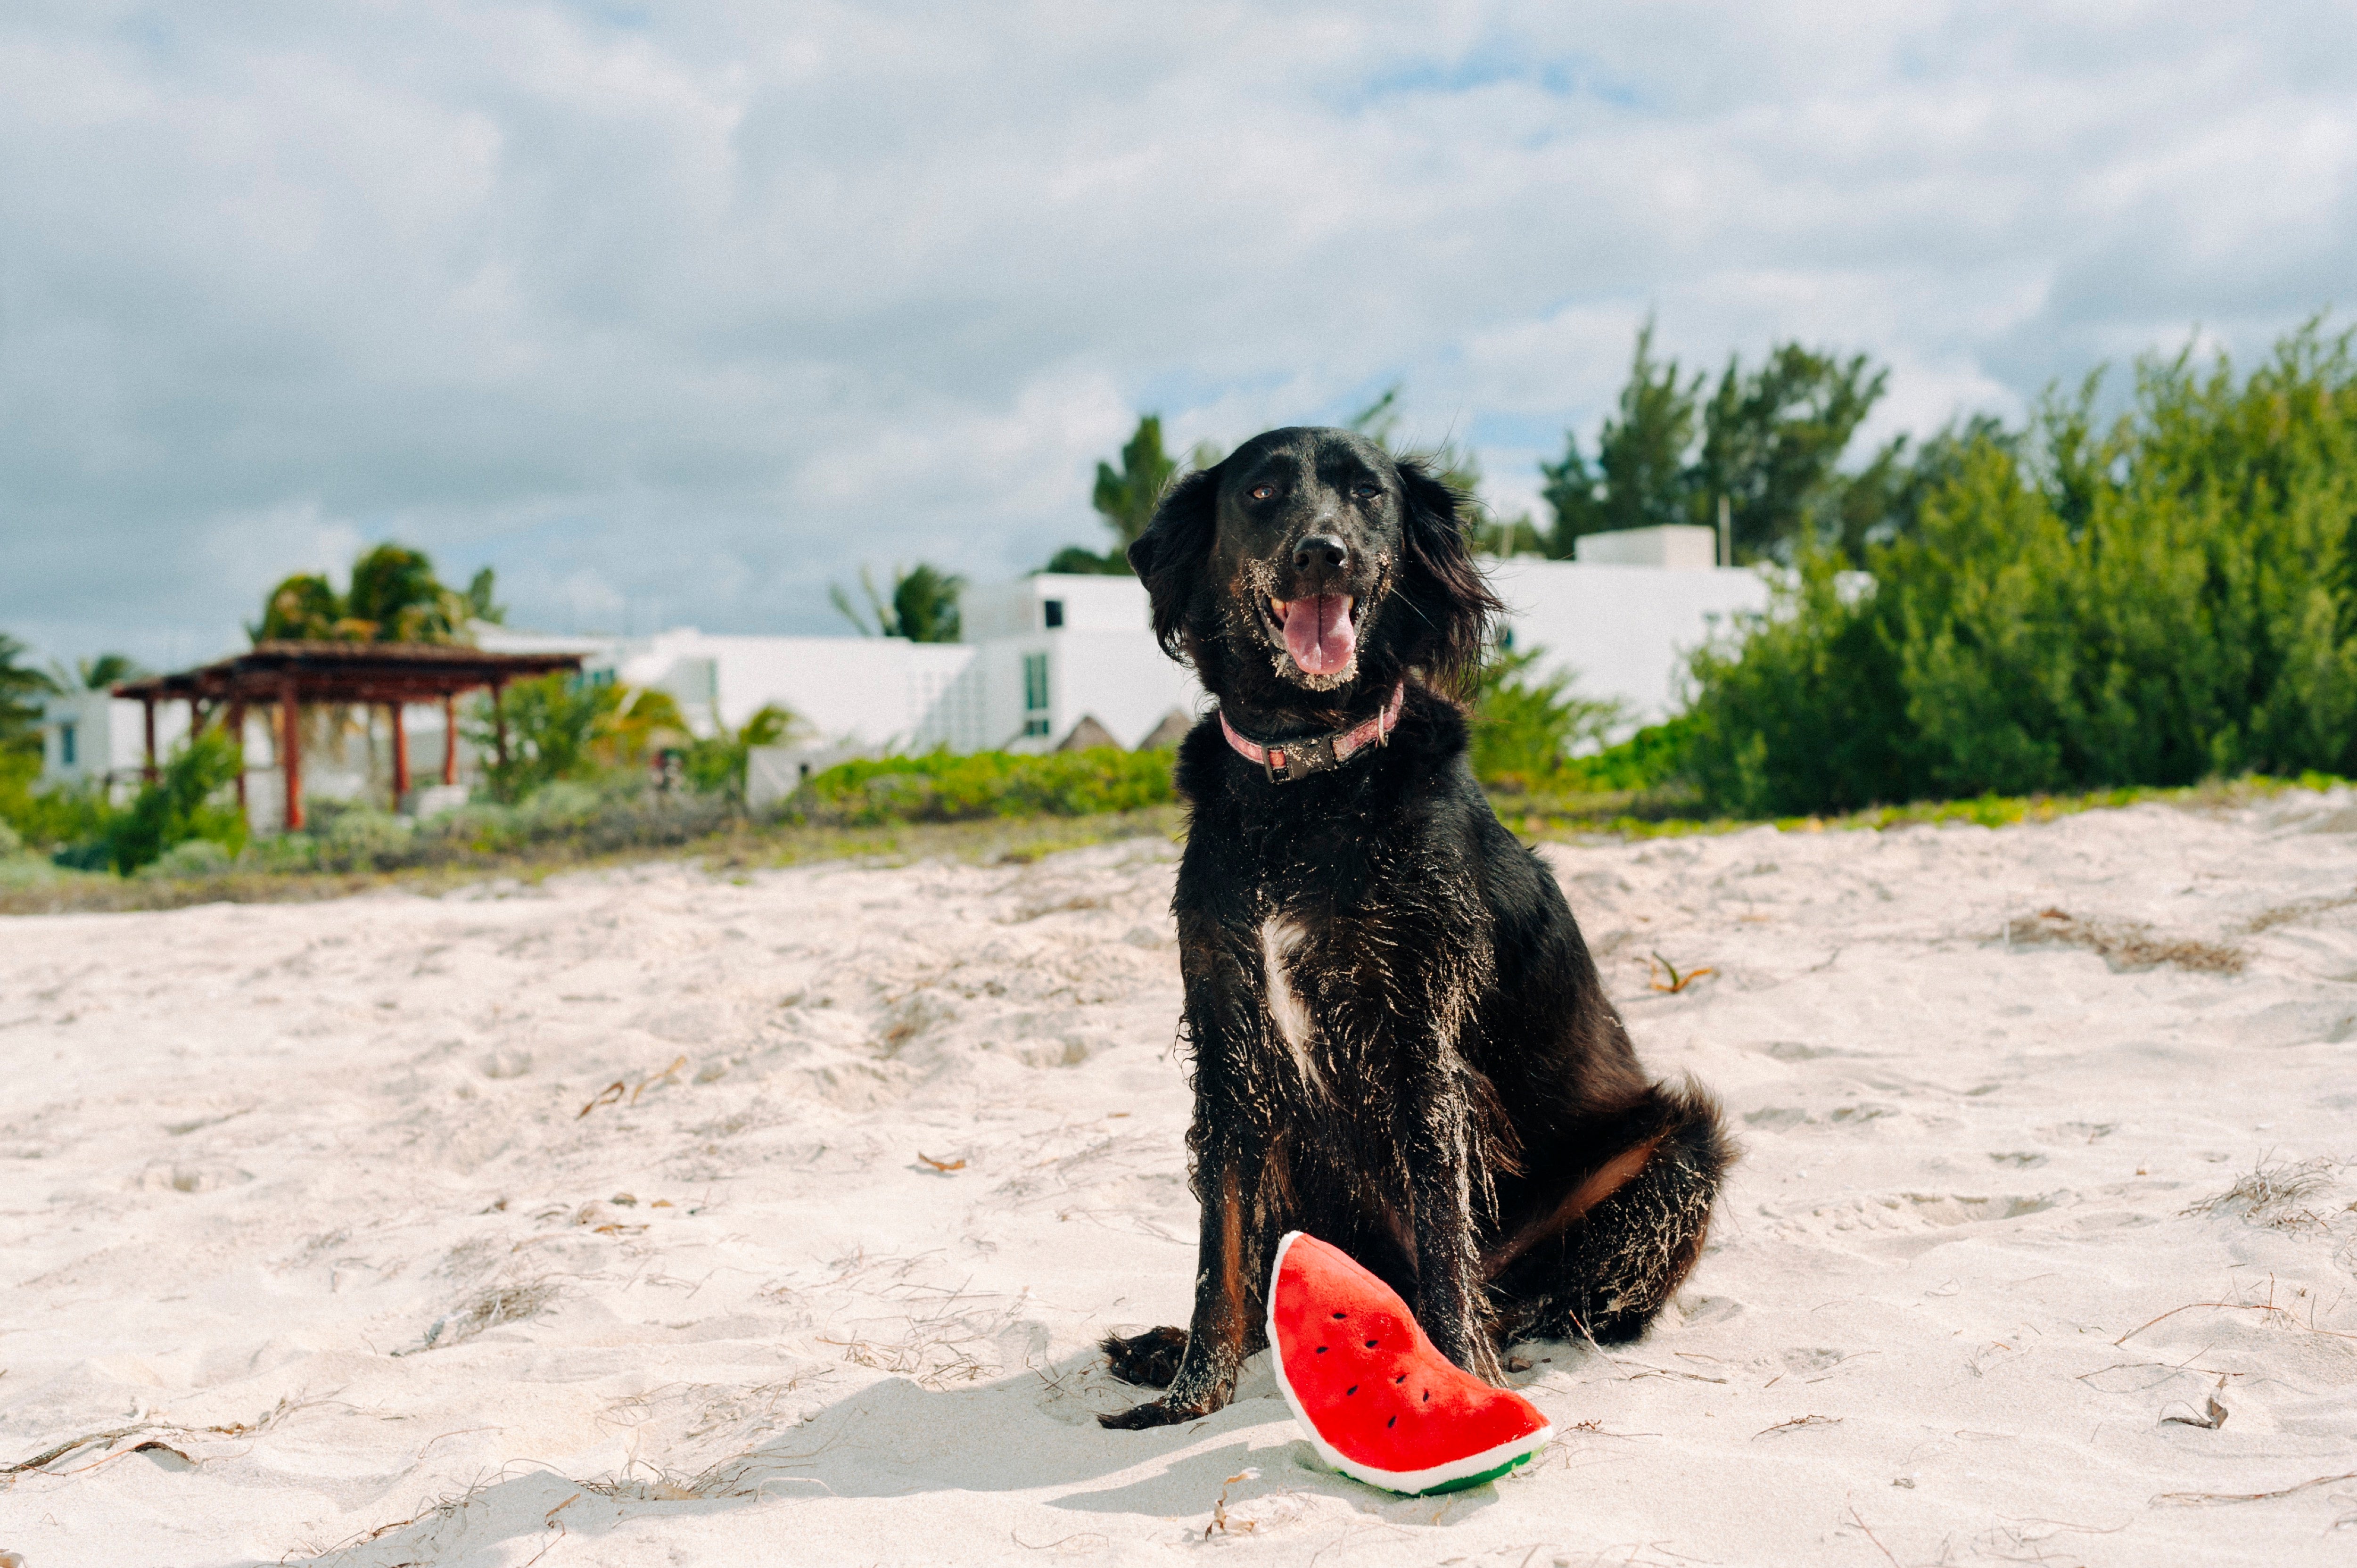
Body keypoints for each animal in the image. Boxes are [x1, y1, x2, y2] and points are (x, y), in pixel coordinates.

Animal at [1089, 422, 1735, 1424]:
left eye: (1368, 494)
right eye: (1263, 492)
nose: (1325, 554)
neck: (1308, 778)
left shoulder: (1420, 1031)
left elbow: (1442, 1227)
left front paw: (1463, 1374)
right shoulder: (1229, 1041)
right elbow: (1219, 1243)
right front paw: (1193, 1387)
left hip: (1680, 1147)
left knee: (1558, 1293)